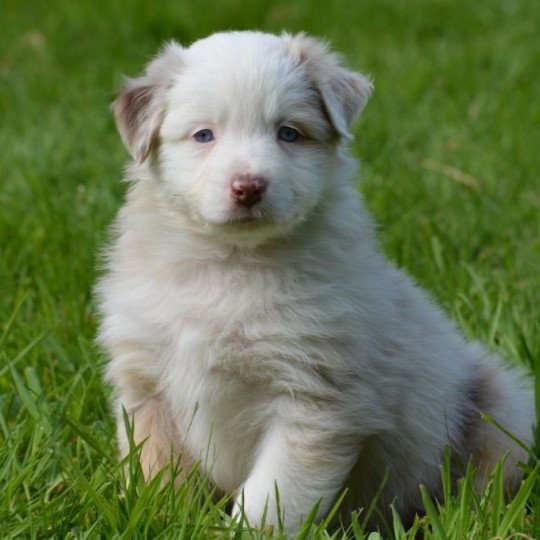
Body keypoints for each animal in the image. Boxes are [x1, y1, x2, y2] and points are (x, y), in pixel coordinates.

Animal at [96, 31, 532, 532]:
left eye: (289, 133)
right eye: (204, 135)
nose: (249, 187)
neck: (230, 263)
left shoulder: (314, 400)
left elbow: (270, 497)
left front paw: (244, 533)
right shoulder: (147, 388)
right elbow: (159, 473)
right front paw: (158, 520)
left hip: (499, 406)